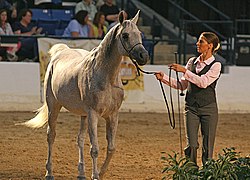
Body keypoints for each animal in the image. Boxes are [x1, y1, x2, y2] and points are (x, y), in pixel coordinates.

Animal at [21, 10, 148, 179]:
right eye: (125, 35)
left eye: (139, 33)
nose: (143, 56)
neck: (106, 77)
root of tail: (61, 52)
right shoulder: (93, 114)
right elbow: (94, 149)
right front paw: (95, 175)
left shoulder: (113, 115)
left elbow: (111, 148)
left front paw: (100, 172)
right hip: (53, 106)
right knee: (51, 136)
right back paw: (49, 172)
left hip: (83, 114)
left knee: (80, 139)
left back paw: (81, 173)